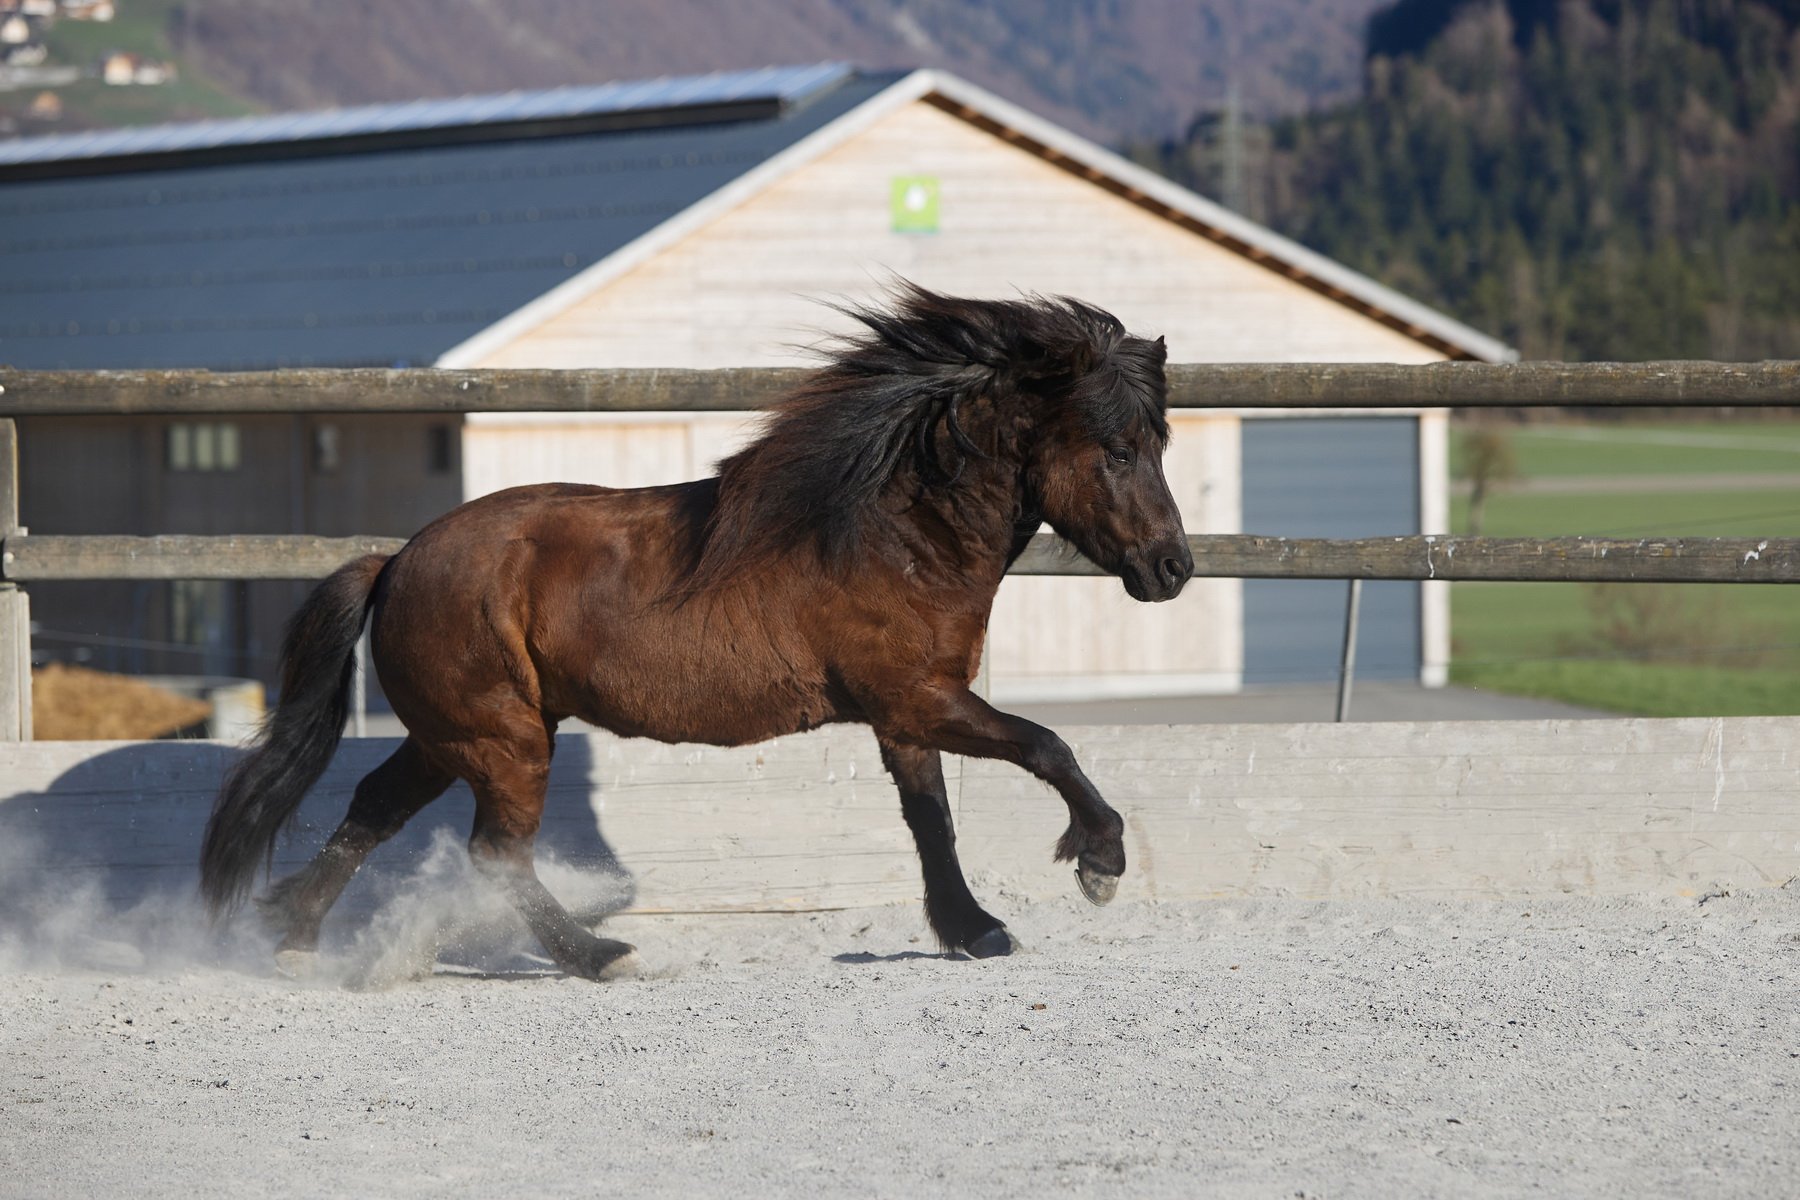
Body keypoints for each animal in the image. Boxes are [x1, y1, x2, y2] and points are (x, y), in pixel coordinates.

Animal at [197, 286, 1188, 978]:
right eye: (1118, 450)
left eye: (1160, 444)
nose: (1172, 568)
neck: (892, 535)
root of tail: (397, 560)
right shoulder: (921, 699)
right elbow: (1047, 745)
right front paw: (1100, 861)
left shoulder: (907, 716)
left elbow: (931, 821)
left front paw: (972, 929)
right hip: (502, 742)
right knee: (493, 854)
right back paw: (599, 957)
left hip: (456, 737)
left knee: (373, 811)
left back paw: (292, 936)